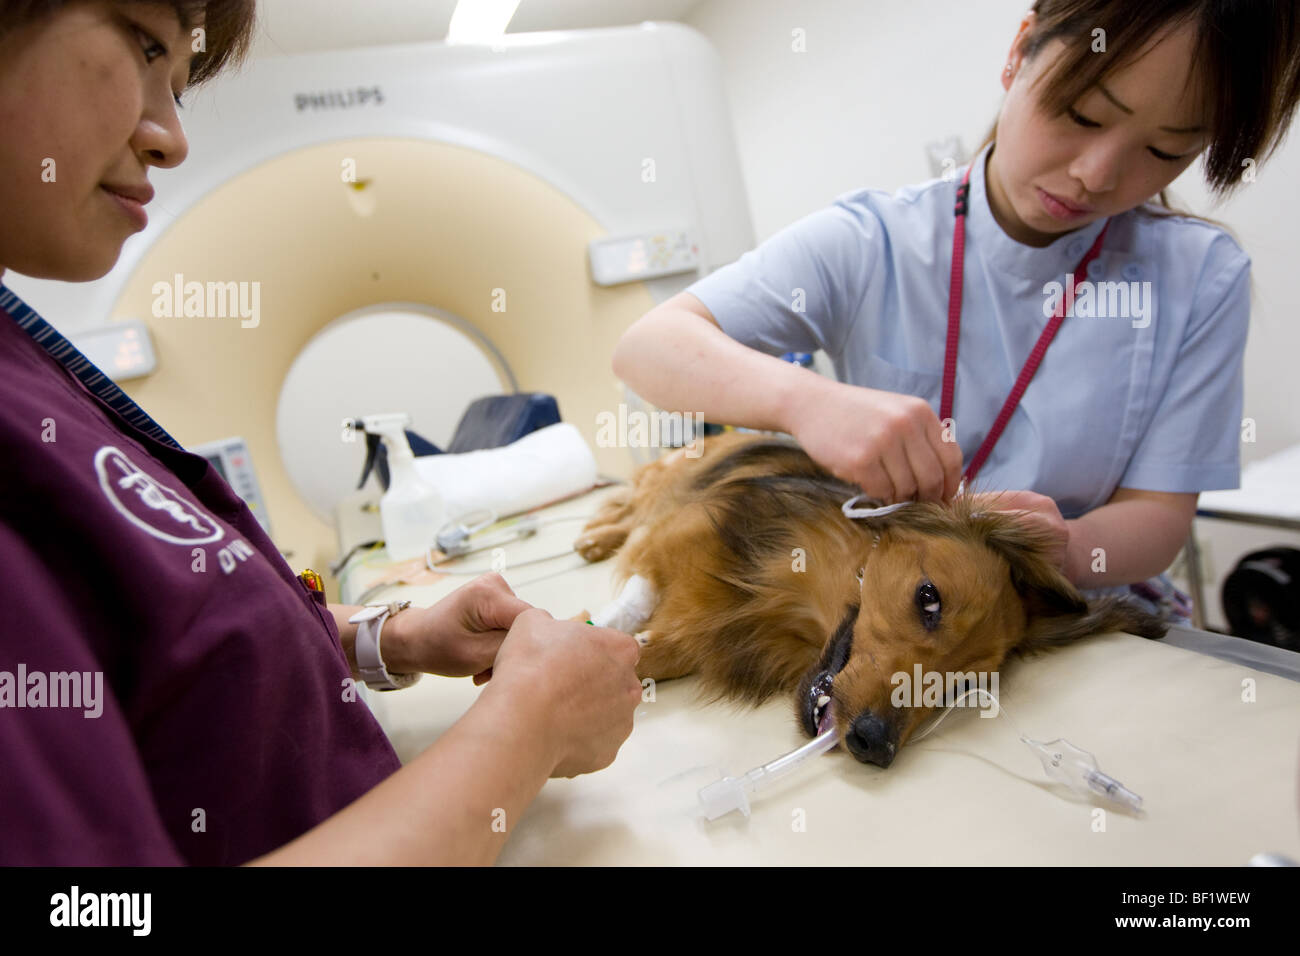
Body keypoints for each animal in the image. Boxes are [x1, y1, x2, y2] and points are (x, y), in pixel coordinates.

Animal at [579, 434, 1170, 770]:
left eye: (965, 686)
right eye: (928, 599)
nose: (874, 746)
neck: (771, 599)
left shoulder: (698, 636)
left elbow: (642, 652)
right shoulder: (675, 543)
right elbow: (633, 594)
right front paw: (598, 619)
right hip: (671, 480)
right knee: (630, 506)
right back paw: (594, 536)